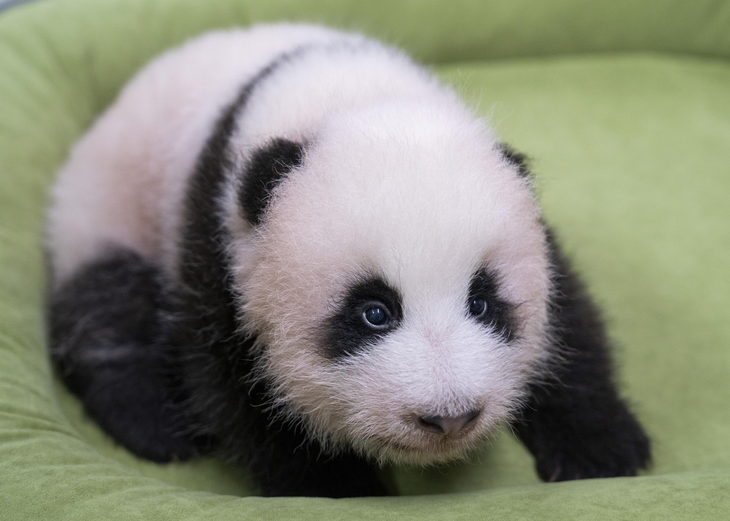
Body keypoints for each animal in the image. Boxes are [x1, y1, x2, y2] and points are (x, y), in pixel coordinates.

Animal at [46, 24, 651, 497]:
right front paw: (337, 488)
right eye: (374, 312)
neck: (349, 99)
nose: (449, 416)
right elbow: (238, 385)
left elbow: (569, 323)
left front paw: (603, 449)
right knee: (108, 307)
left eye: (483, 302)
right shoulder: (219, 239)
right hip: (108, 201)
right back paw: (153, 424)